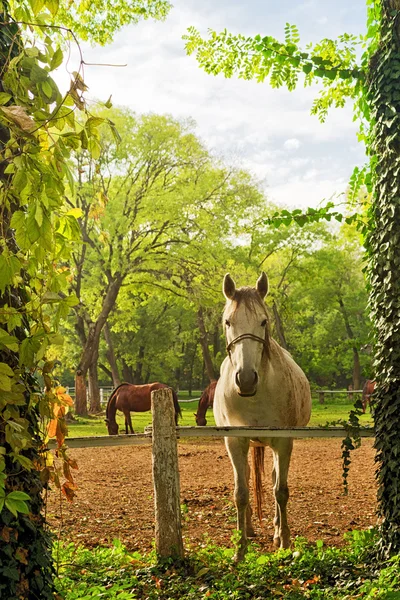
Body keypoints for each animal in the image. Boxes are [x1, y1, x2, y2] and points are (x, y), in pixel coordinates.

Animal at [214, 272, 310, 564]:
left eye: (263, 321)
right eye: (228, 321)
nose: (245, 379)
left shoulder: (284, 442)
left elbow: (281, 490)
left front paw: (285, 542)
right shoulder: (235, 443)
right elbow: (240, 493)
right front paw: (240, 548)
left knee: (276, 478)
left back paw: (277, 531)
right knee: (247, 478)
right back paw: (248, 528)